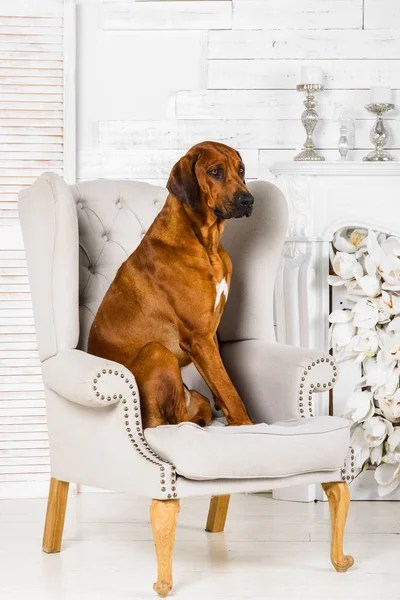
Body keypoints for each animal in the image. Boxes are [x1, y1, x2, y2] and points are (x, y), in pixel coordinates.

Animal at [89, 142, 255, 426]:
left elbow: (220, 382)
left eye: (241, 169)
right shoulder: (199, 336)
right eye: (215, 172)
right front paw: (246, 425)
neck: (205, 243)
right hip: (158, 353)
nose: (248, 200)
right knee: (176, 420)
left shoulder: (210, 335)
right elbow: (230, 390)